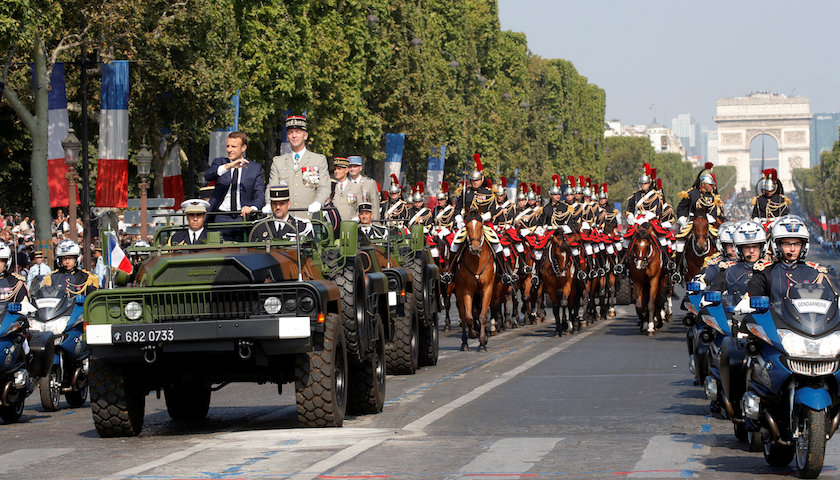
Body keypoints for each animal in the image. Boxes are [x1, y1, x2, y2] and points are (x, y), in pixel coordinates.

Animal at [456, 210, 496, 352]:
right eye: (467, 227)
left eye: (481, 226)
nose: (474, 248)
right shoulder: (467, 290)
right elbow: (468, 317)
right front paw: (473, 335)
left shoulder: (488, 288)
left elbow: (483, 316)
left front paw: (483, 342)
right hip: (459, 291)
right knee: (463, 314)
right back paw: (465, 341)